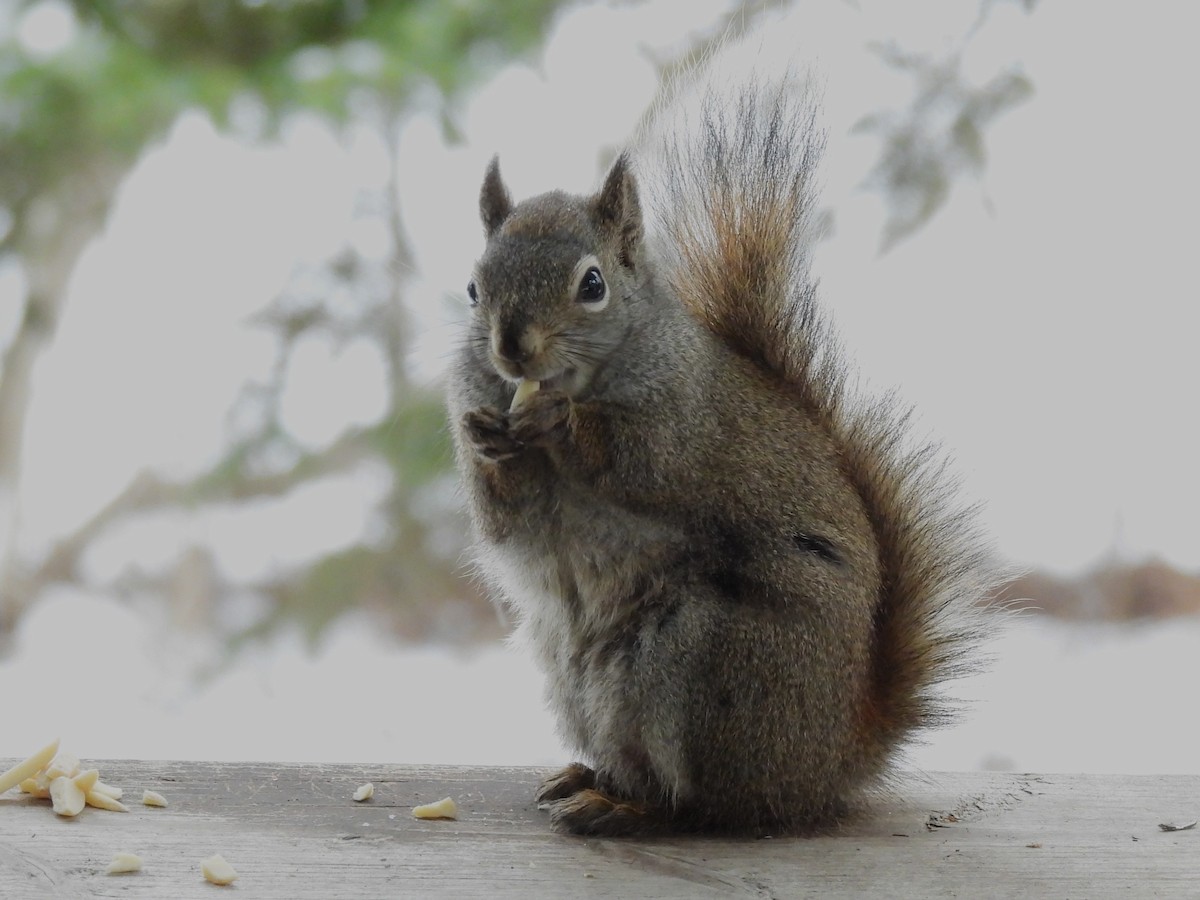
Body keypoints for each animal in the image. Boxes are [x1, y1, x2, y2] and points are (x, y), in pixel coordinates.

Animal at [446, 75, 999, 836]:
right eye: (474, 287)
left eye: (593, 284)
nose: (512, 349)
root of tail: (829, 763)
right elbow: (507, 519)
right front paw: (488, 440)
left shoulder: (684, 417)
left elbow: (638, 459)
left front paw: (561, 421)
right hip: (582, 682)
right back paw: (593, 779)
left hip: (704, 664)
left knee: (709, 805)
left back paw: (631, 809)